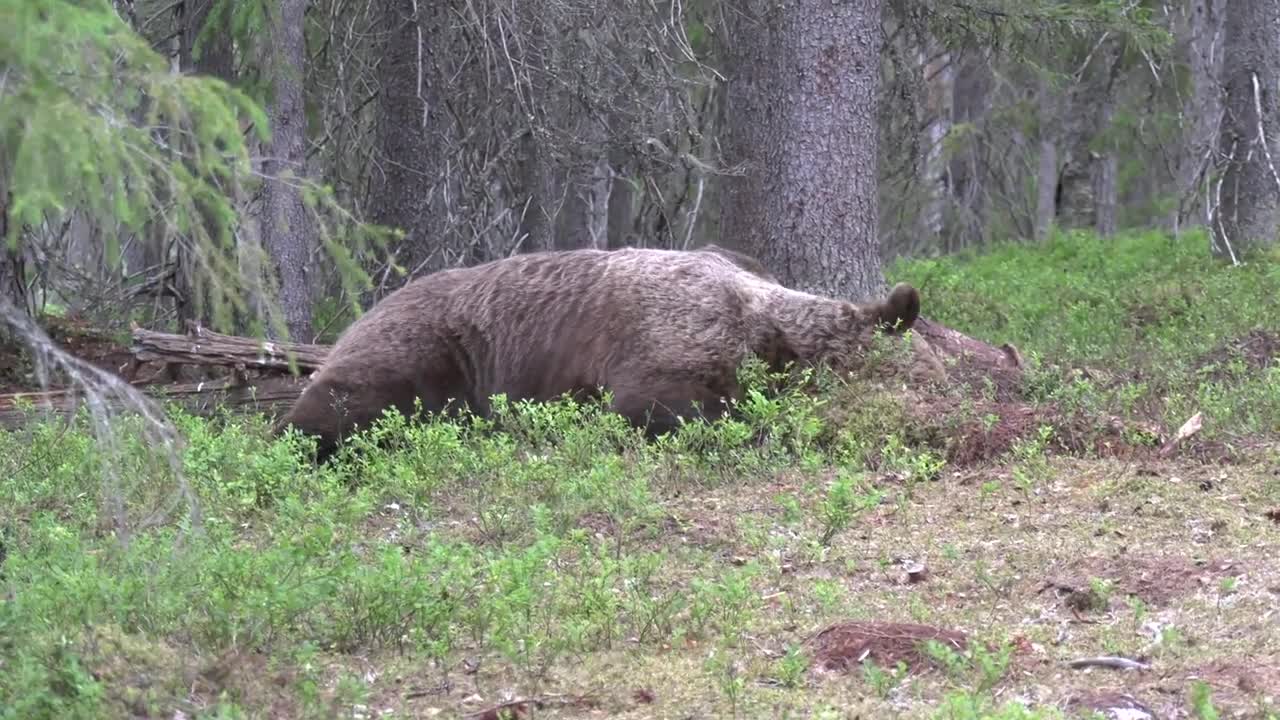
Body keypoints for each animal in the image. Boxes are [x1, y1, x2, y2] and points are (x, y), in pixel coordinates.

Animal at [277, 245, 921, 458]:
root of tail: (361, 312)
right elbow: (659, 408)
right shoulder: (662, 345)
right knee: (348, 406)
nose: (926, 430)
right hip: (431, 347)